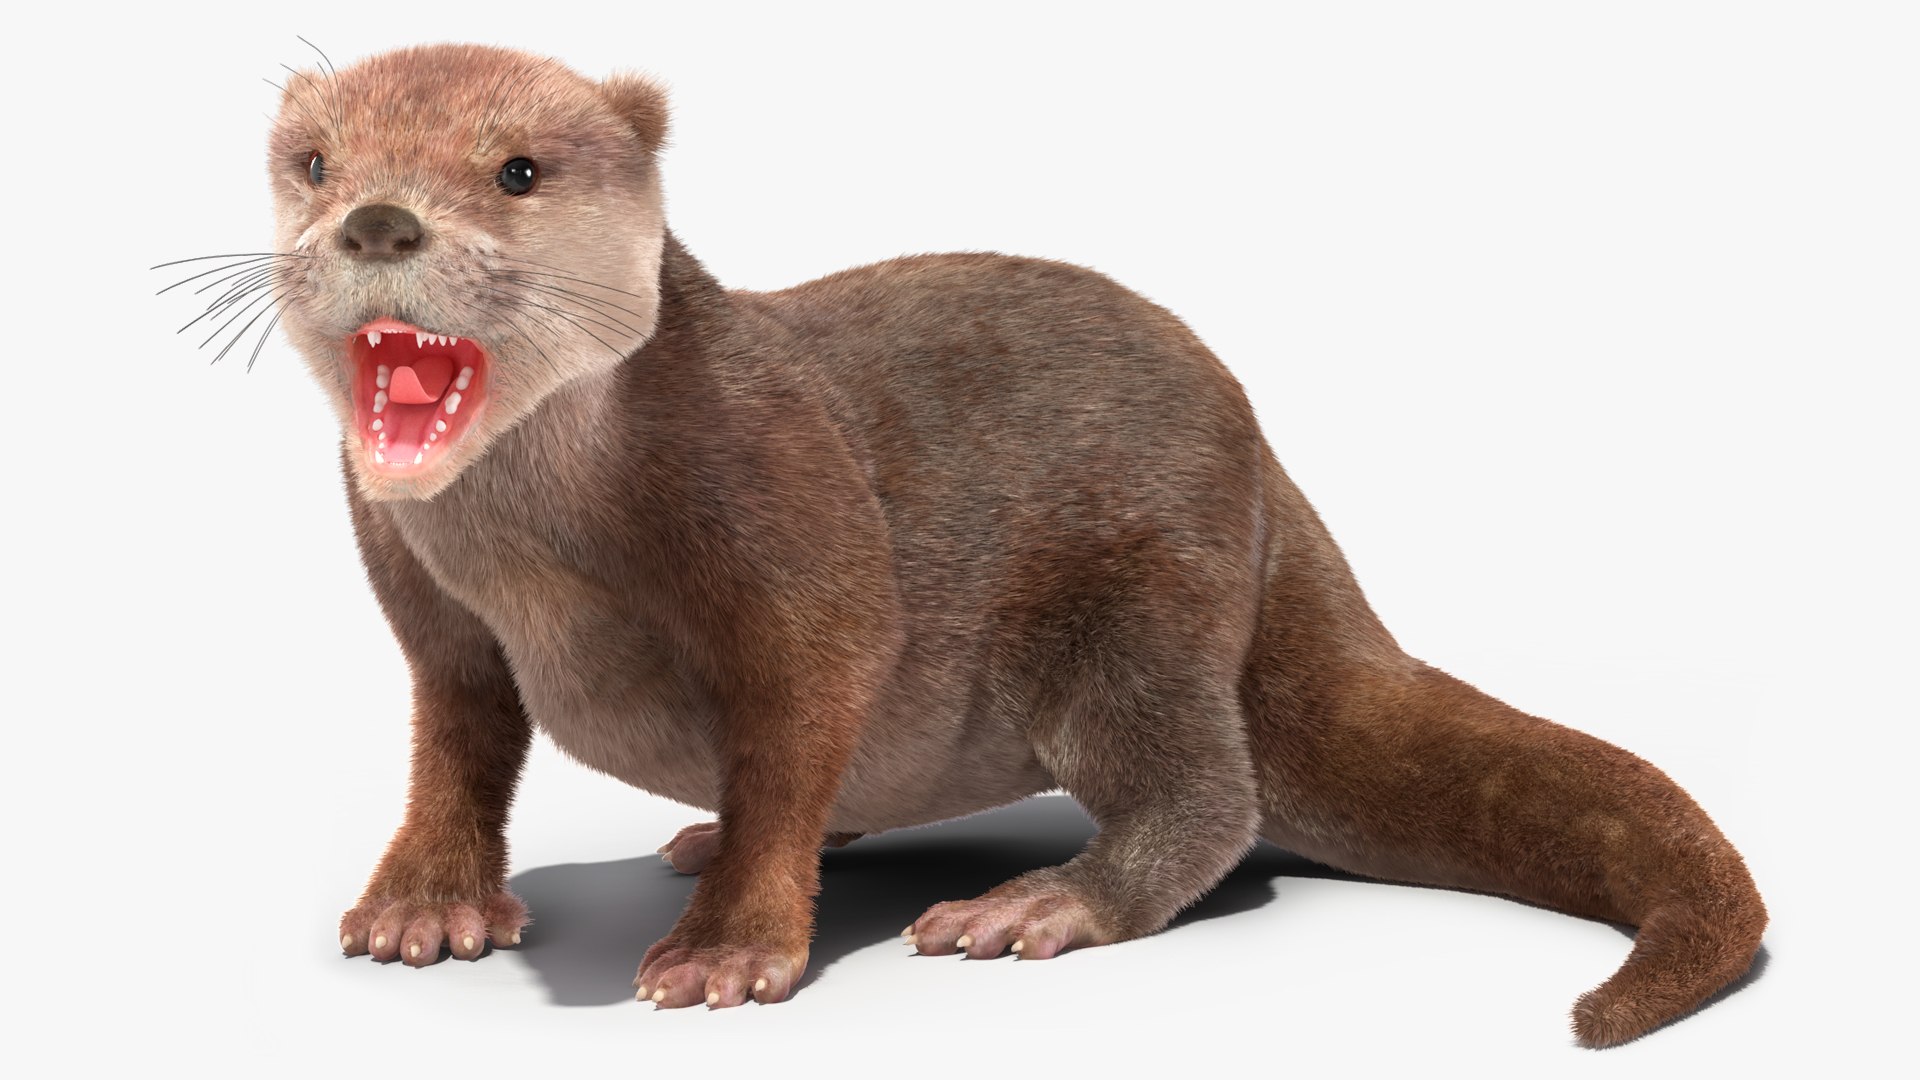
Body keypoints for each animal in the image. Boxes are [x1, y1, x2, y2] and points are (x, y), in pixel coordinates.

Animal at [233, 43, 1762, 1045]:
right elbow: (456, 739)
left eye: (517, 170)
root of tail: (1271, 477)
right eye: (313, 164)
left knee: (1207, 795)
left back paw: (1037, 906)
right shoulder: (425, 601)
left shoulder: (789, 506)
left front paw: (728, 948)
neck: (549, 557)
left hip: (1142, 597)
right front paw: (424, 905)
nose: (378, 219)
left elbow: (806, 714)